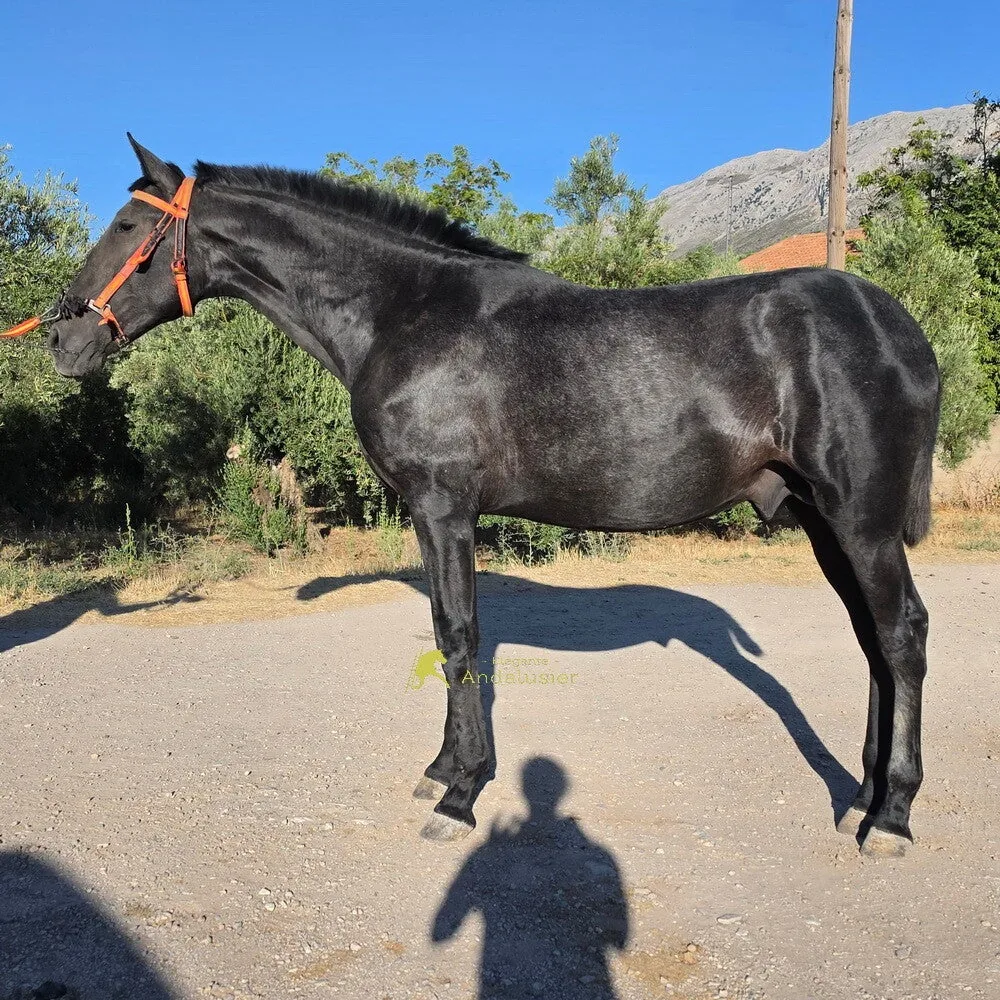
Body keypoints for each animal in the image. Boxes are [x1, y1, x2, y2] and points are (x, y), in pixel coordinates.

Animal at [42, 136, 940, 856]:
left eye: (129, 228)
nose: (61, 335)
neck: (401, 313)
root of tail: (900, 329)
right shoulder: (431, 514)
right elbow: (448, 637)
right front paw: (442, 769)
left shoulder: (443, 507)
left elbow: (460, 634)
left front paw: (462, 794)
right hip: (824, 521)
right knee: (871, 640)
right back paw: (861, 796)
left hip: (860, 521)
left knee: (902, 634)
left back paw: (893, 816)